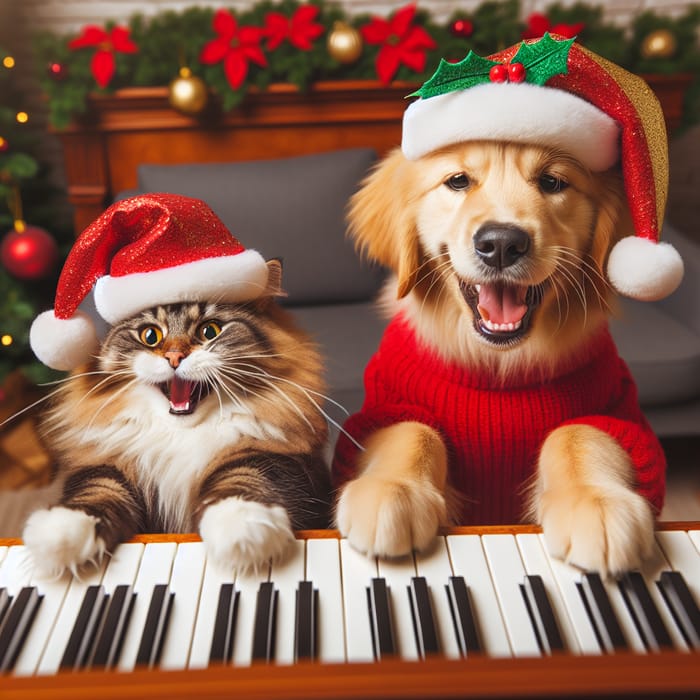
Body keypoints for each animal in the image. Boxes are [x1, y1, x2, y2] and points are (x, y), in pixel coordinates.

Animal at [23, 288, 334, 576]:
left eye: (209, 331)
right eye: (150, 336)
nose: (174, 357)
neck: (181, 435)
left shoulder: (269, 455)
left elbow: (243, 480)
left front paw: (241, 527)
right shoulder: (109, 464)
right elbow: (97, 491)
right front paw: (60, 536)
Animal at [332, 139, 668, 576]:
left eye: (552, 182)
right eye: (458, 181)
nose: (502, 244)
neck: (498, 367)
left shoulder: (620, 413)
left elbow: (579, 432)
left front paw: (598, 502)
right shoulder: (385, 405)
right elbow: (412, 430)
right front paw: (392, 489)